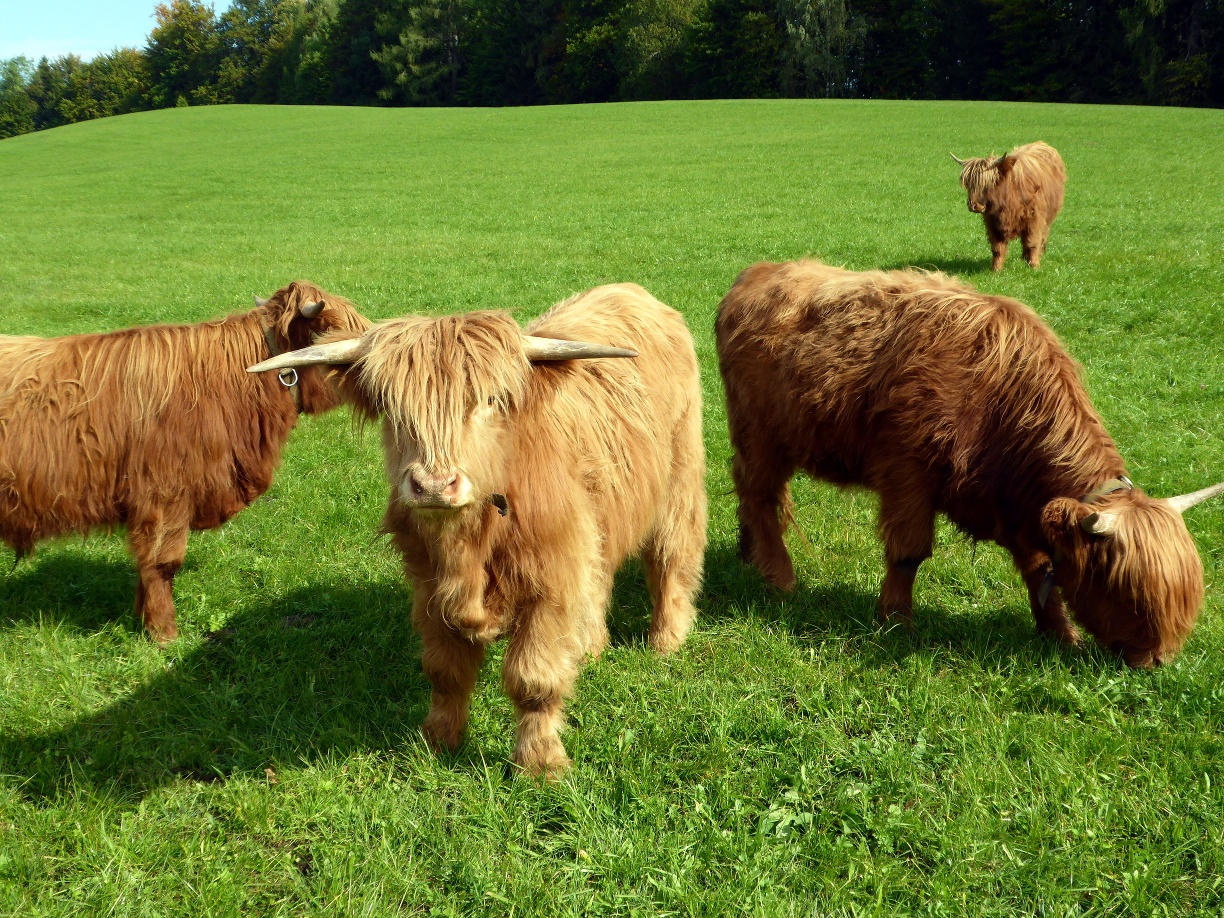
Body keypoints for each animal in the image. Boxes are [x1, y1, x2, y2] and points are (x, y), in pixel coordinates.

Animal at [250, 286, 709, 778]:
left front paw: (540, 765)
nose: (434, 485)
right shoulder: (428, 585)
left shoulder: (551, 579)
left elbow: (534, 678)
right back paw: (591, 648)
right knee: (601, 575)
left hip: (679, 480)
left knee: (671, 557)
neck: (469, 542)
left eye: (489, 400)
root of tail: (631, 292)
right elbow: (444, 670)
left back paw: (666, 642)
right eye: (393, 409)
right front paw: (437, 742)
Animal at [714, 259, 1224, 670]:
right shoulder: (908, 474)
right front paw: (896, 622)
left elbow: (1040, 568)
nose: (1155, 660)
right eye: (1128, 592)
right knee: (761, 497)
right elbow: (908, 553)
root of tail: (756, 273)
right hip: (761, 436)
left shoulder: (1018, 507)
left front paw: (1062, 635)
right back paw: (781, 579)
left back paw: (748, 554)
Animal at [949, 140, 1067, 269]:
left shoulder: (1034, 220)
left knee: (1041, 237)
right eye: (969, 184)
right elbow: (997, 248)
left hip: (1048, 218)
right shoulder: (992, 223)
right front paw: (996, 269)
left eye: (988, 184)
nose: (974, 206)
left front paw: (1034, 266)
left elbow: (1032, 242)